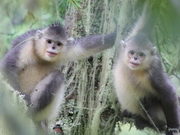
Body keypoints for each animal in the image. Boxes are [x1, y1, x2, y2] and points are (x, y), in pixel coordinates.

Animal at [113, 2, 179, 135]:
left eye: (141, 55)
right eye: (132, 53)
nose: (135, 59)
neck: (133, 71)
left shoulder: (153, 73)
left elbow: (169, 93)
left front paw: (173, 128)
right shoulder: (134, 35)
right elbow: (147, 18)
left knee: (147, 101)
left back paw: (149, 124)